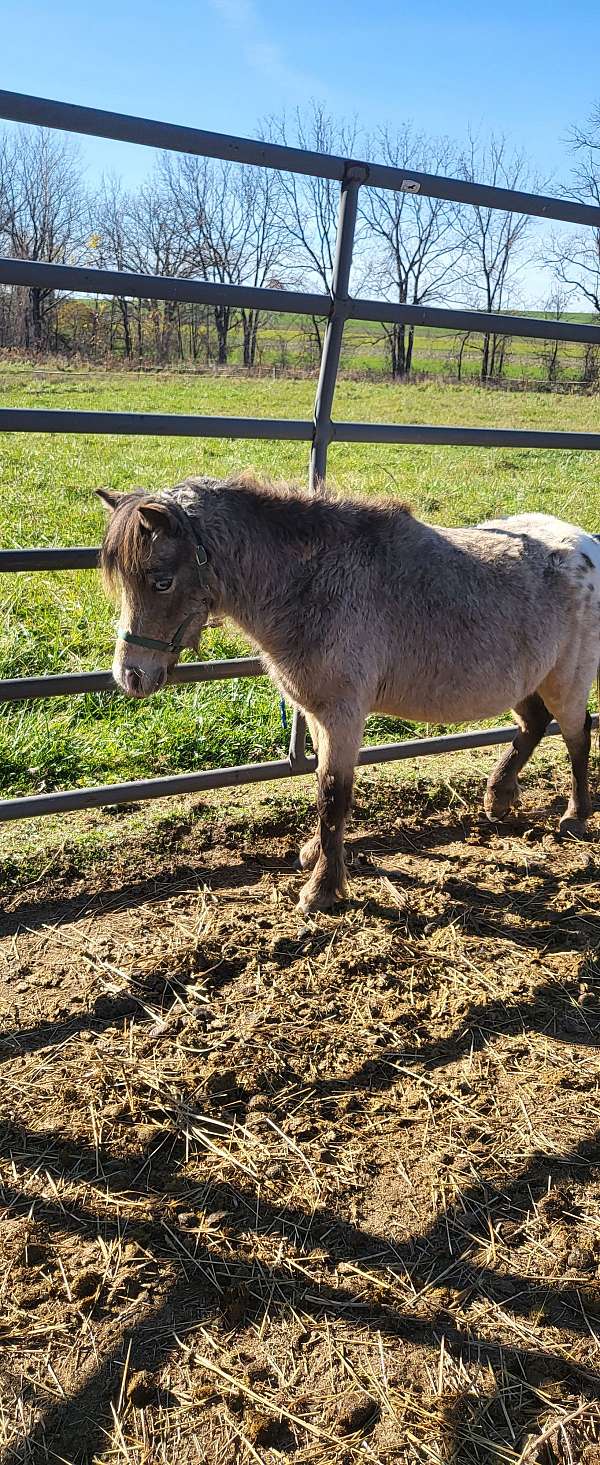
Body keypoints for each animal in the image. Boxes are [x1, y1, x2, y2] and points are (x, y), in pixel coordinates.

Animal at [98, 480, 600, 908]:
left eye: (161, 580)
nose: (130, 676)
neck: (312, 583)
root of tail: (585, 544)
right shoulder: (320, 716)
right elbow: (325, 790)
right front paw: (316, 855)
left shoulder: (342, 715)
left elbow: (333, 795)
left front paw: (321, 889)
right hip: (528, 680)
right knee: (533, 725)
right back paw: (498, 797)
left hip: (567, 681)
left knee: (577, 736)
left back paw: (575, 816)